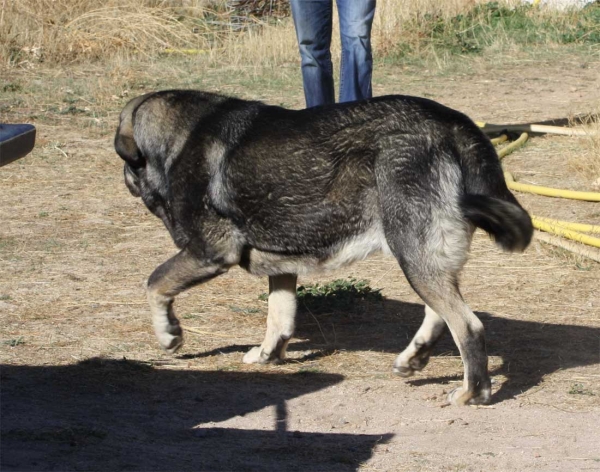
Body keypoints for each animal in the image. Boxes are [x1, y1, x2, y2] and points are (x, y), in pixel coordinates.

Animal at [115, 89, 532, 406]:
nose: (125, 179)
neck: (180, 138)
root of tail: (455, 126)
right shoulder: (282, 268)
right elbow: (279, 319)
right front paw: (268, 355)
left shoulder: (209, 251)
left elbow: (155, 283)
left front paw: (169, 333)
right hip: (423, 257)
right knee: (441, 312)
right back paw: (415, 357)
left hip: (412, 251)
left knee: (467, 325)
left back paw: (472, 393)